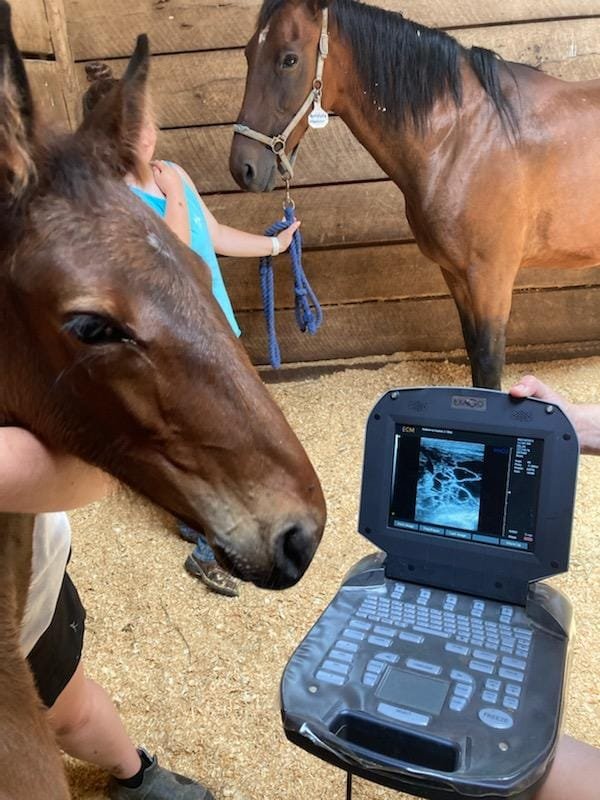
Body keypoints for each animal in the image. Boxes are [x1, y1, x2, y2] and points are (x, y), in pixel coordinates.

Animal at [230, 0, 600, 388]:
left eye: (289, 59)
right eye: (248, 53)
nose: (243, 167)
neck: (461, 139)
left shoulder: (491, 277)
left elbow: (488, 362)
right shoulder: (455, 274)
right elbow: (473, 352)